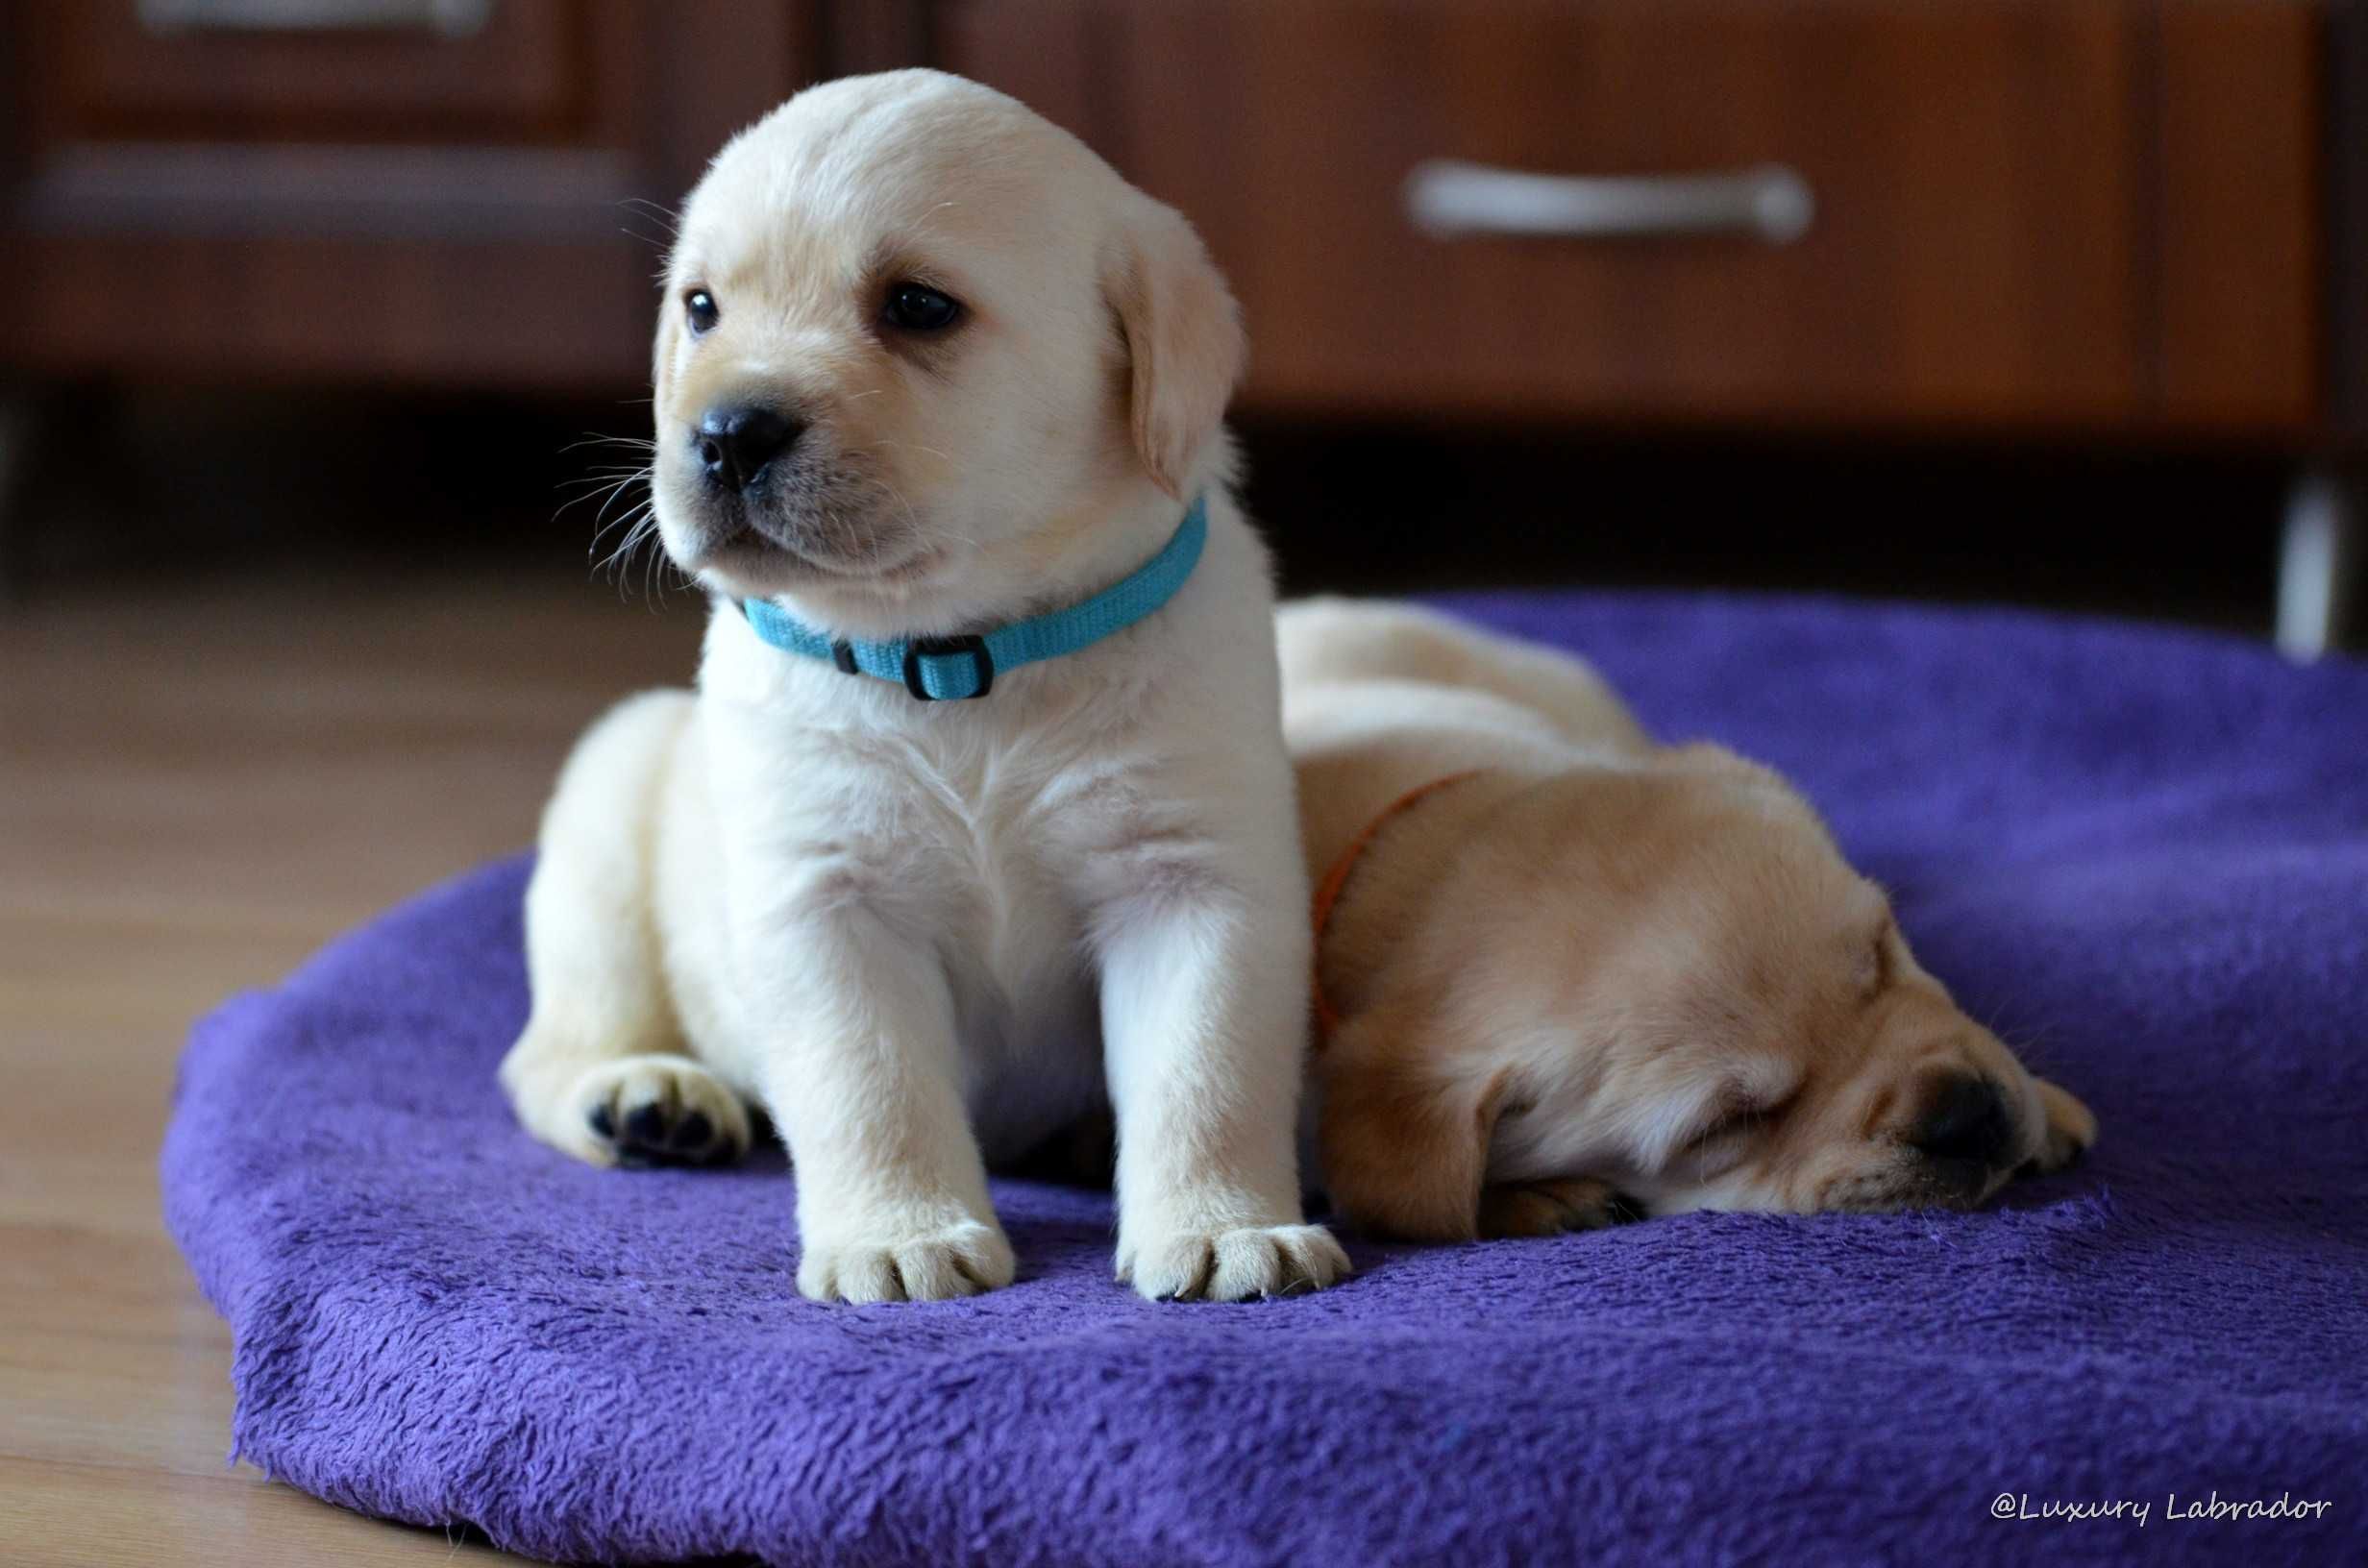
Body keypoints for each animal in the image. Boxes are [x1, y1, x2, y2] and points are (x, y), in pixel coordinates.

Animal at [504, 67, 1354, 1307]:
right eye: (702, 308)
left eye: (916, 306)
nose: (725, 433)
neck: (956, 659)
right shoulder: (824, 901)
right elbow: (871, 1085)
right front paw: (898, 1239)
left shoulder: (1192, 882)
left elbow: (1206, 1075)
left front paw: (1228, 1230)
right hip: (609, 810)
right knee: (548, 1049)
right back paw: (645, 1098)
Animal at [1278, 599, 2093, 1240]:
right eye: (1733, 1124)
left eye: (1883, 951)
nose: (1964, 1116)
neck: (1422, 845)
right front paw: (1533, 1199)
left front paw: (2050, 1109)